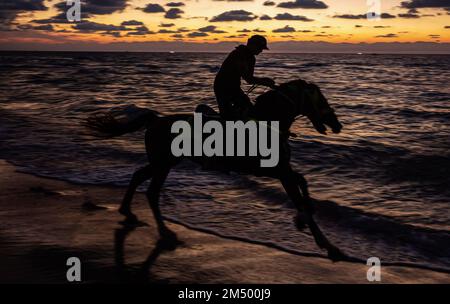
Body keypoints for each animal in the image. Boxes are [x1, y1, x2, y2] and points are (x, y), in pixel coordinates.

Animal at [89, 79, 348, 260]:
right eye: (321, 99)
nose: (337, 124)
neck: (269, 121)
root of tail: (154, 119)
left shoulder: (282, 170)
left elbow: (303, 183)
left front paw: (306, 220)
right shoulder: (277, 171)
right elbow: (299, 198)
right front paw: (328, 244)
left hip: (164, 163)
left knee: (139, 177)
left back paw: (127, 211)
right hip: (163, 164)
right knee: (152, 191)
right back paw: (164, 232)